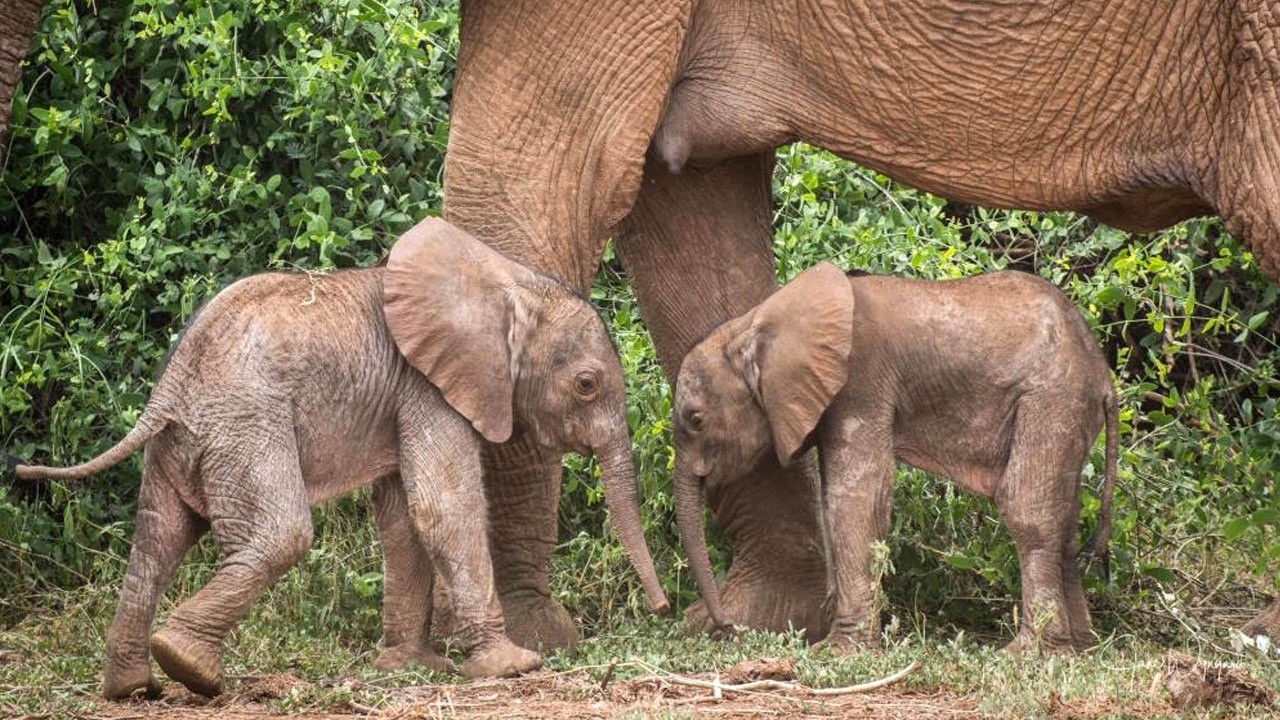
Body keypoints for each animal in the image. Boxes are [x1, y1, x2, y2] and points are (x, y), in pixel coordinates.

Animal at [10, 217, 670, 696]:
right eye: (586, 384)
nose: (663, 608)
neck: (504, 284)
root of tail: (169, 386)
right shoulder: (427, 387)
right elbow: (443, 508)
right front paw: (512, 667)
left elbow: (403, 519)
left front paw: (413, 666)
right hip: (246, 425)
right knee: (279, 535)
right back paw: (191, 669)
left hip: (187, 439)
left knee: (157, 539)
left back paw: (132, 687)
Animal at [675, 262, 1116, 650]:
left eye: (695, 420)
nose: (726, 627)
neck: (754, 323)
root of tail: (1103, 374)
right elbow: (833, 499)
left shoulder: (860, 383)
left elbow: (854, 501)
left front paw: (838, 650)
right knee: (1066, 521)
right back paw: (1077, 648)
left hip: (1051, 397)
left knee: (1027, 510)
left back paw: (1028, 652)